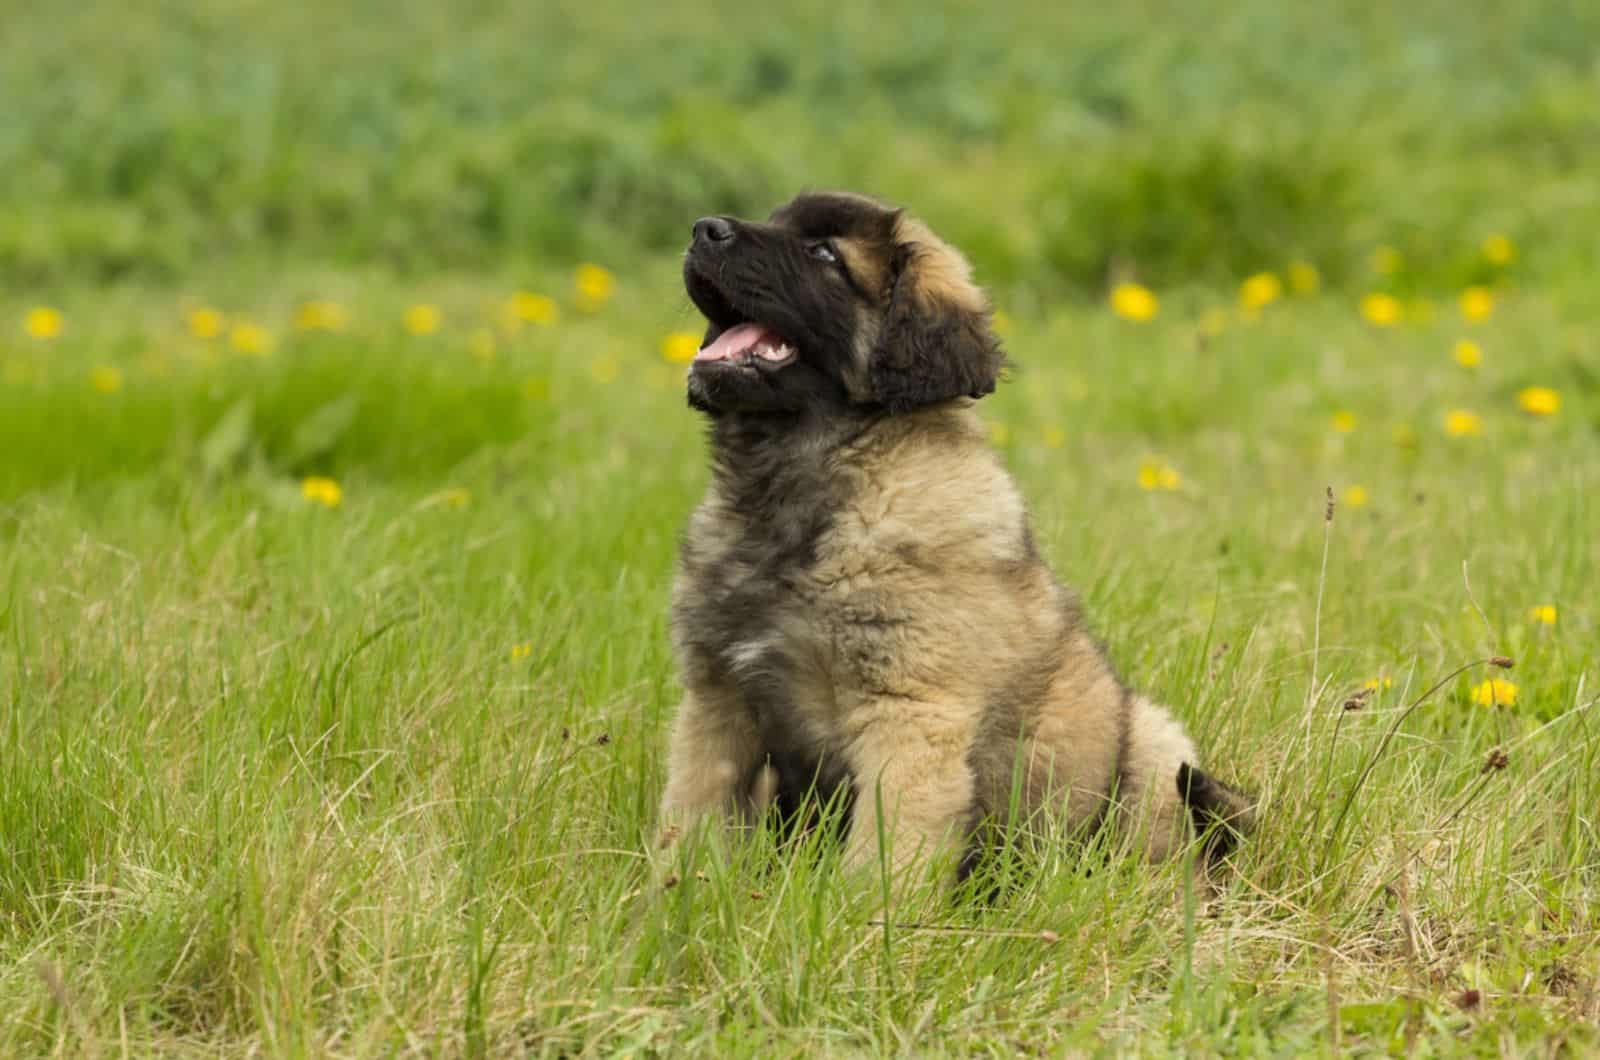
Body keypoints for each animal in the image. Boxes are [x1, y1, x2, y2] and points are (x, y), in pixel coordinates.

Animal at [649, 192, 1248, 890]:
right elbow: (689, 818)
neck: (806, 480)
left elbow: (883, 853)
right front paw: (668, 902)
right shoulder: (717, 701)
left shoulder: (912, 715)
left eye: (823, 253)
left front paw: (859, 918)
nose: (703, 229)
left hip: (1152, 749)